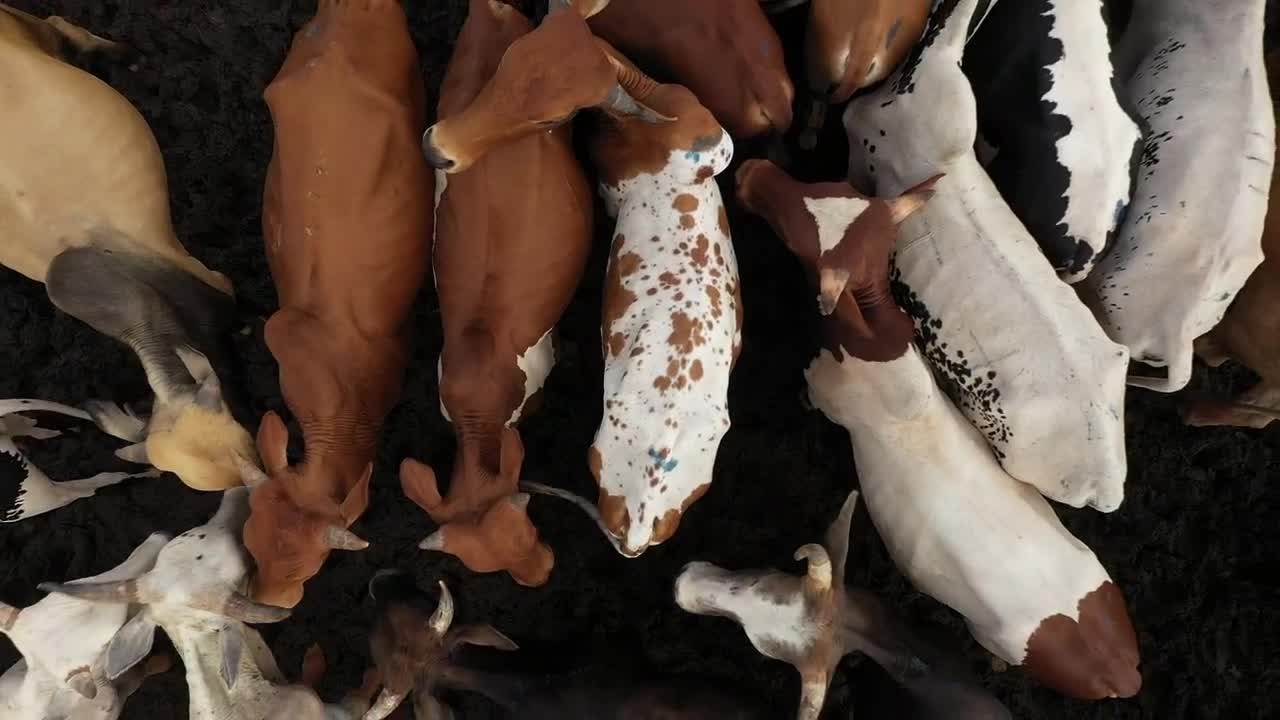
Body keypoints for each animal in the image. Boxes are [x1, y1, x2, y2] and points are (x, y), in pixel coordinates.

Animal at [736, 157, 1142, 701]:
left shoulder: (825, 393)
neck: (875, 337)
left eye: (797, 240)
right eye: (830, 185)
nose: (751, 170)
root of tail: (1119, 667)